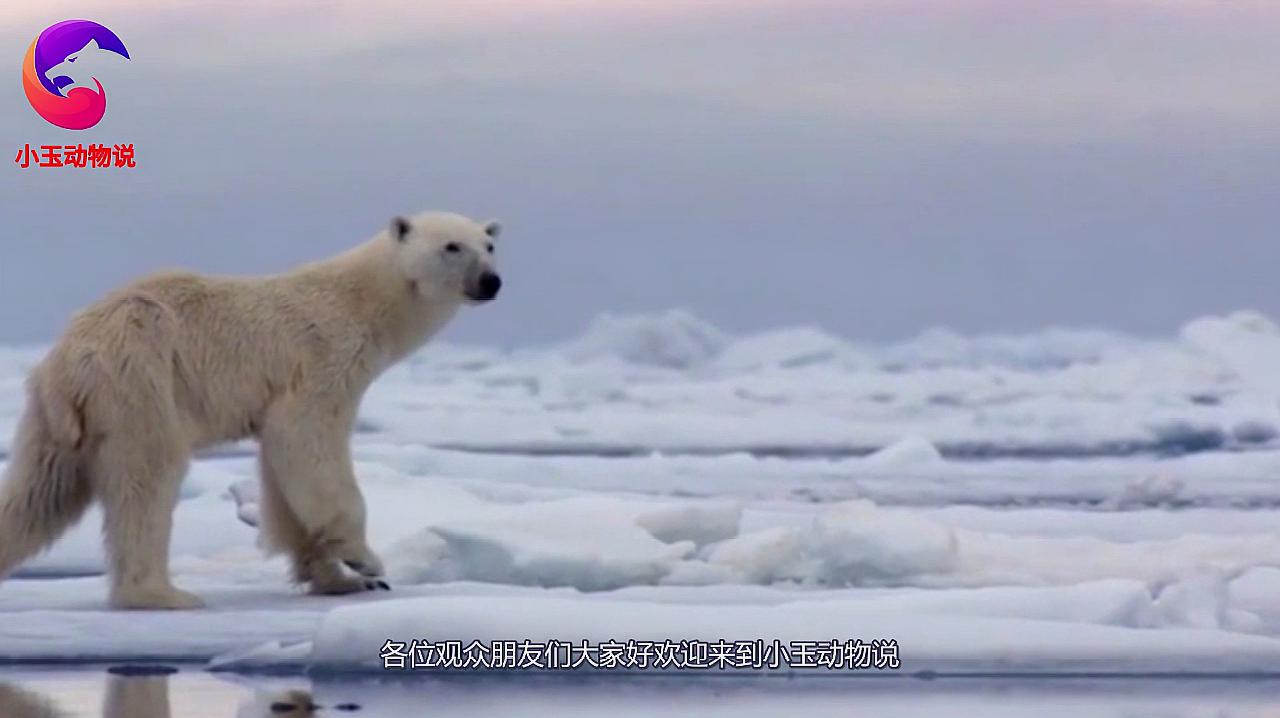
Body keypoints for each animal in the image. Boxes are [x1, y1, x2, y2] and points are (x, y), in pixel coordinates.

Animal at [0, 209, 504, 606]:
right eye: (452, 246)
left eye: (489, 245)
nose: (491, 281)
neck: (363, 302)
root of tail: (69, 357)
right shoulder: (323, 360)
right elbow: (309, 442)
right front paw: (366, 562)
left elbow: (282, 476)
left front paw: (336, 580)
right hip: (141, 379)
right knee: (148, 477)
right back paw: (161, 593)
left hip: (58, 420)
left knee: (39, 494)